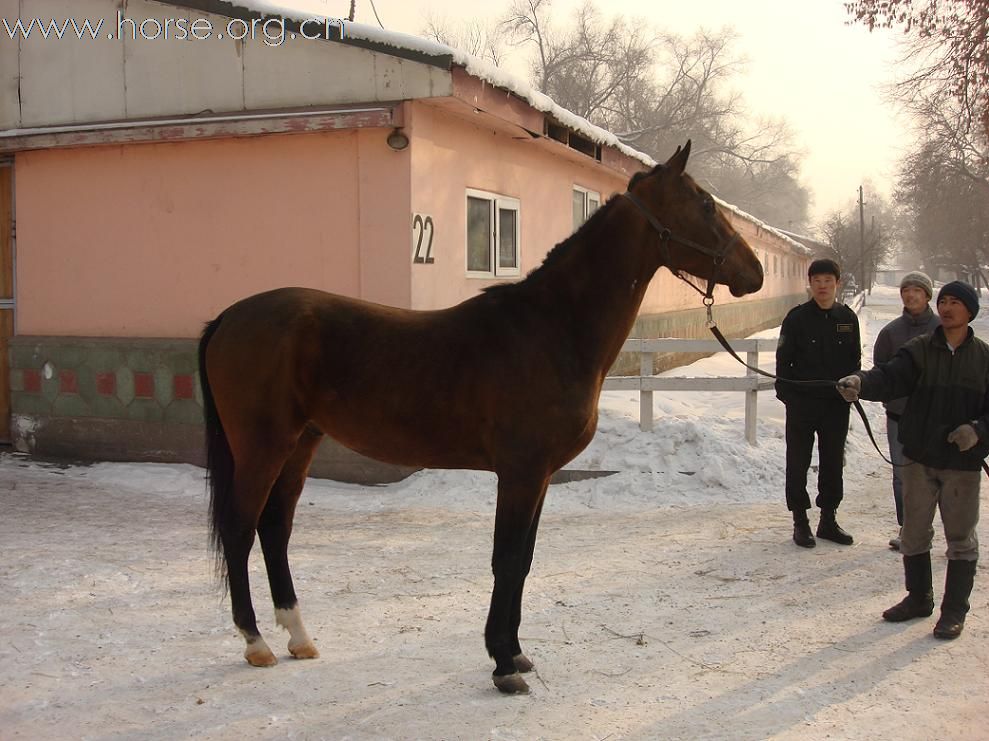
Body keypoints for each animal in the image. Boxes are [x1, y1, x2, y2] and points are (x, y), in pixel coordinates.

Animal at [195, 140, 764, 692]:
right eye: (705, 204)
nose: (754, 272)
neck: (550, 331)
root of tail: (228, 317)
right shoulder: (521, 473)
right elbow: (506, 560)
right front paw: (503, 665)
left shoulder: (539, 476)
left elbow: (523, 561)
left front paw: (515, 653)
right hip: (263, 447)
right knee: (241, 529)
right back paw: (256, 644)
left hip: (301, 443)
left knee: (274, 529)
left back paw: (298, 637)